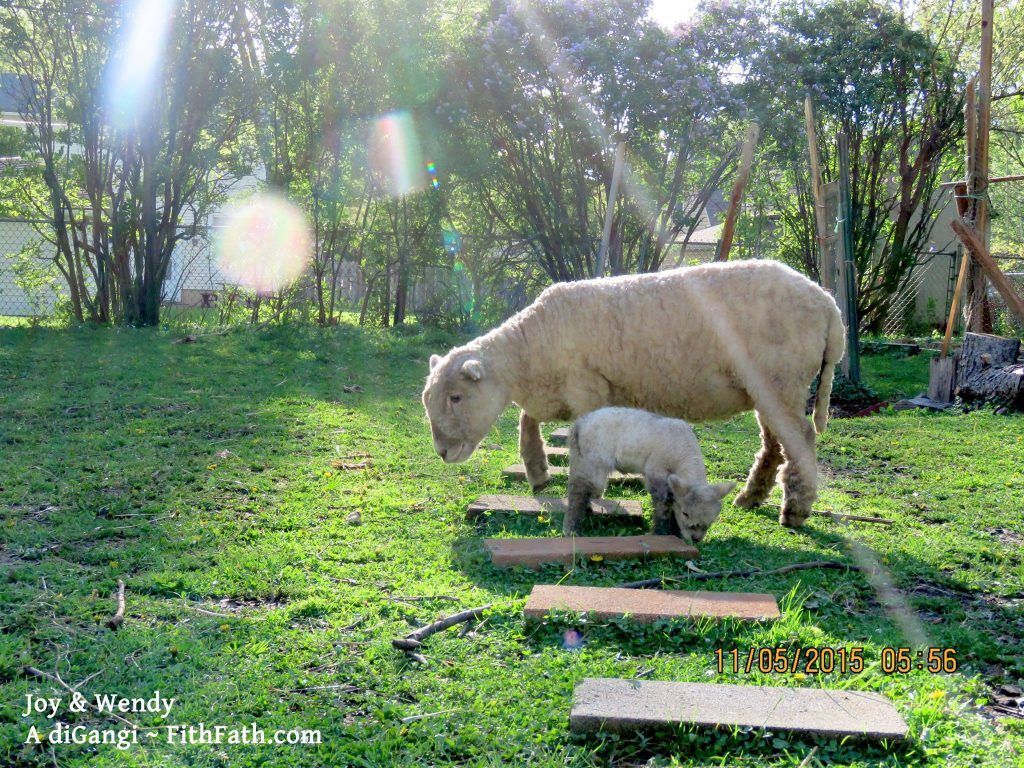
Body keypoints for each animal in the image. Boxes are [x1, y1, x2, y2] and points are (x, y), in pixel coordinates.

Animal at [422, 259, 845, 527]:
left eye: (455, 398)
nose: (442, 452)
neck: (531, 349)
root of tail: (827, 302)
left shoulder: (586, 386)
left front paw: (585, 494)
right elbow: (528, 420)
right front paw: (537, 471)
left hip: (782, 380)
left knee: (800, 441)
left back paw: (795, 511)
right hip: (766, 386)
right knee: (774, 443)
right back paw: (751, 496)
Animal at [564, 407, 736, 542]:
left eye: (712, 518)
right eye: (685, 513)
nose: (696, 539)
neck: (683, 452)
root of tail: (580, 423)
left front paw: (675, 534)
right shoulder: (656, 473)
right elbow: (664, 505)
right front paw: (661, 533)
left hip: (579, 457)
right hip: (594, 461)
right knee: (579, 492)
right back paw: (572, 529)